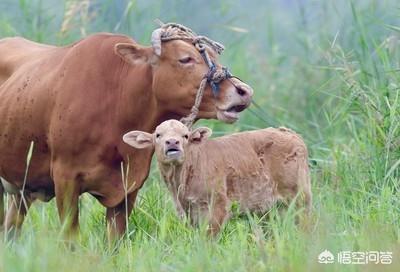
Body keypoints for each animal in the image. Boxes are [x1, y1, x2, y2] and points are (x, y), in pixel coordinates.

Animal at [123, 120, 310, 235]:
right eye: (158, 135)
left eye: (185, 136)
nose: (173, 143)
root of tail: (288, 132)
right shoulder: (189, 212)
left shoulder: (218, 206)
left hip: (300, 198)